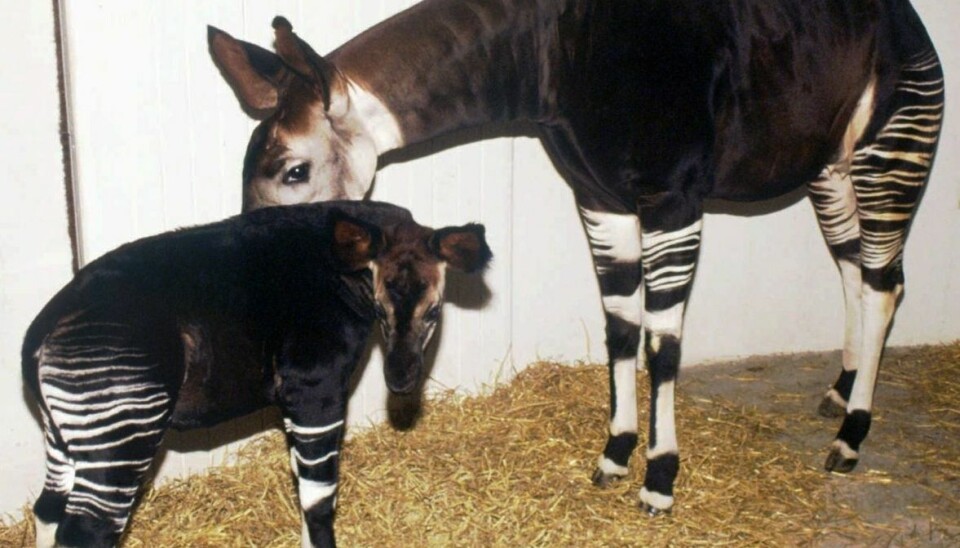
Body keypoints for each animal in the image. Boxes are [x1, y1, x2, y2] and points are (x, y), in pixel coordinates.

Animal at [24, 201, 488, 548]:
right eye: (379, 310)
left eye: (433, 312)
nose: (401, 381)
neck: (343, 272)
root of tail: (41, 333)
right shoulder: (316, 389)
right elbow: (319, 502)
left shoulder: (296, 401)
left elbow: (303, 489)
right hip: (124, 426)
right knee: (87, 532)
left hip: (65, 433)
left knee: (47, 509)